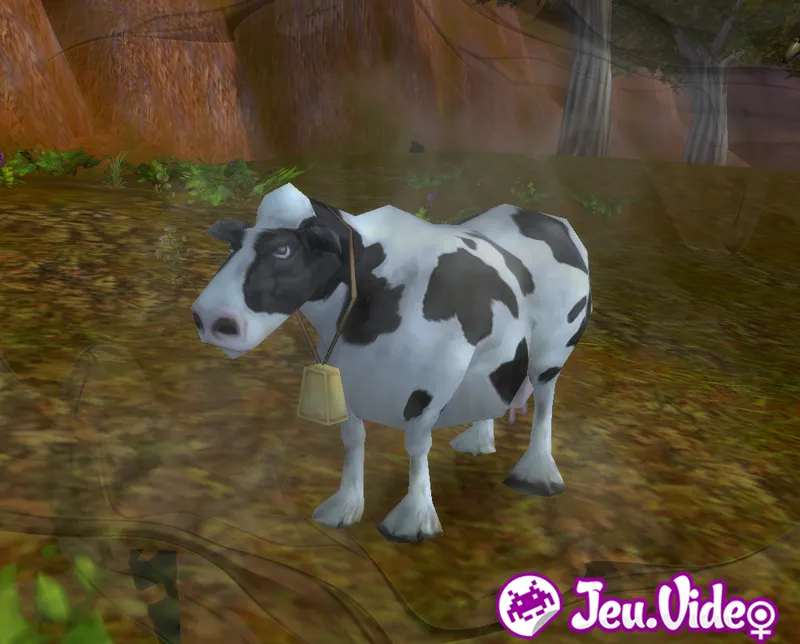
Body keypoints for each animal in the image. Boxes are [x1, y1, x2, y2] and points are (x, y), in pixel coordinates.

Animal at [190, 183, 591, 543]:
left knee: (545, 404)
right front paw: (345, 506)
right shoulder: (347, 381)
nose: (209, 319)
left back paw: (537, 472)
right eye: (234, 245)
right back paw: (478, 440)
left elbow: (416, 447)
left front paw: (414, 519)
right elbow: (353, 439)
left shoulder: (431, 384)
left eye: (283, 250)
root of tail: (545, 218)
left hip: (552, 352)